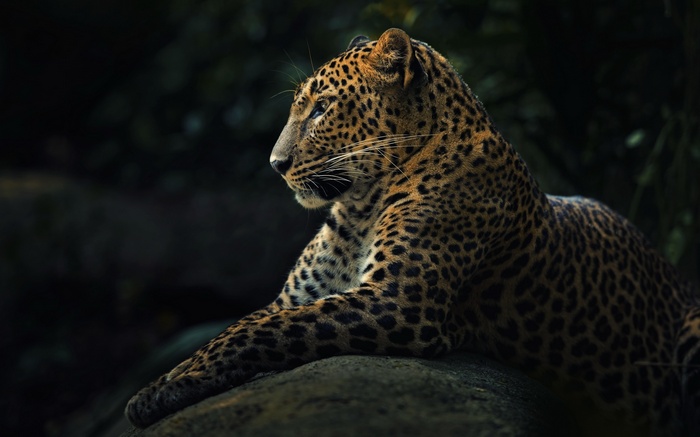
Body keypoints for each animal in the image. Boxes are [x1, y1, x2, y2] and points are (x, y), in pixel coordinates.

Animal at [125, 28, 700, 436]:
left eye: (322, 108)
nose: (275, 164)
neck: (358, 209)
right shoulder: (296, 296)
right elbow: (239, 327)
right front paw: (163, 383)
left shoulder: (398, 303)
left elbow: (257, 330)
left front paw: (160, 393)